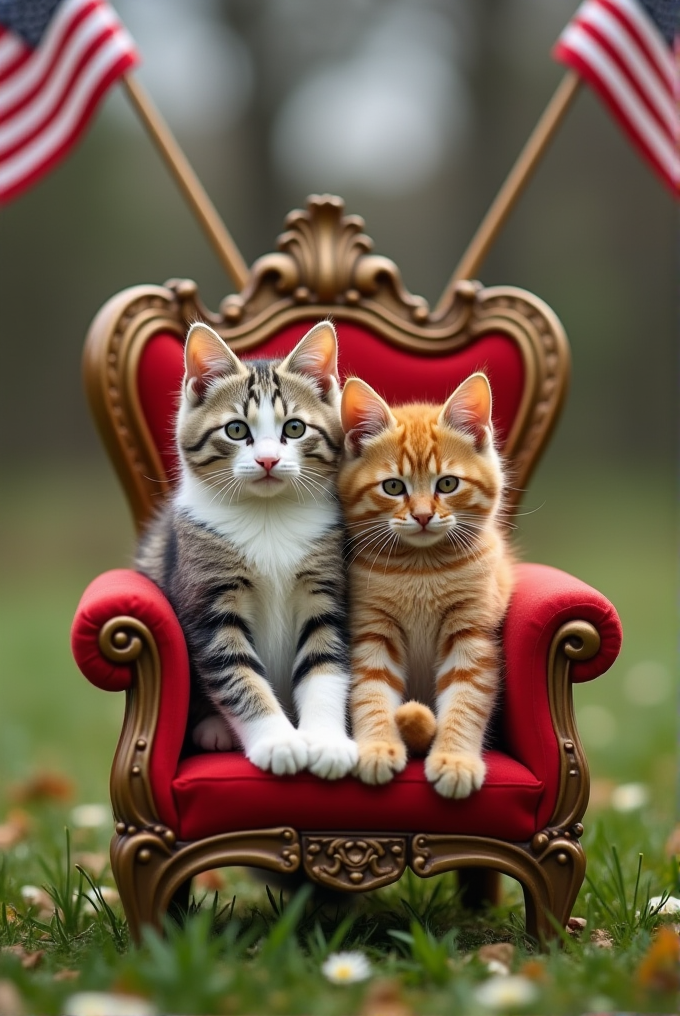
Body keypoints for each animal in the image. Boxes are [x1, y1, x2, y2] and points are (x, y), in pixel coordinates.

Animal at [138, 321, 359, 780]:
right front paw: (278, 742)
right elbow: (237, 673)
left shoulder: (327, 588)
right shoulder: (208, 598)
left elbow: (326, 664)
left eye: (295, 428)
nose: (269, 461)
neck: (268, 515)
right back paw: (214, 728)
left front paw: (326, 741)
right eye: (237, 430)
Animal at [337, 373, 512, 800]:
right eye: (392, 487)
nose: (421, 515)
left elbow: (466, 699)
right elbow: (370, 692)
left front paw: (455, 760)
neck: (421, 569)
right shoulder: (372, 631)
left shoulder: (471, 634)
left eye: (447, 484)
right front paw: (377, 746)